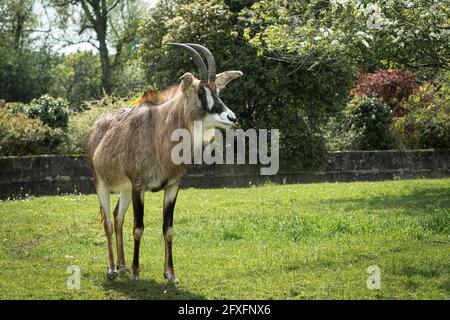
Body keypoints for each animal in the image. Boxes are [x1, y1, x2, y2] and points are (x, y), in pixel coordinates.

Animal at [87, 43, 243, 282]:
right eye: (201, 92)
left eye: (218, 91)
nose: (231, 118)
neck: (161, 132)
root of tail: (96, 126)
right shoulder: (139, 186)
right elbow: (138, 228)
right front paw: (136, 271)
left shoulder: (172, 187)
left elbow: (168, 229)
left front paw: (170, 273)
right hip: (102, 185)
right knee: (108, 222)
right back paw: (113, 268)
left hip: (124, 190)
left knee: (117, 217)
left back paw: (122, 266)